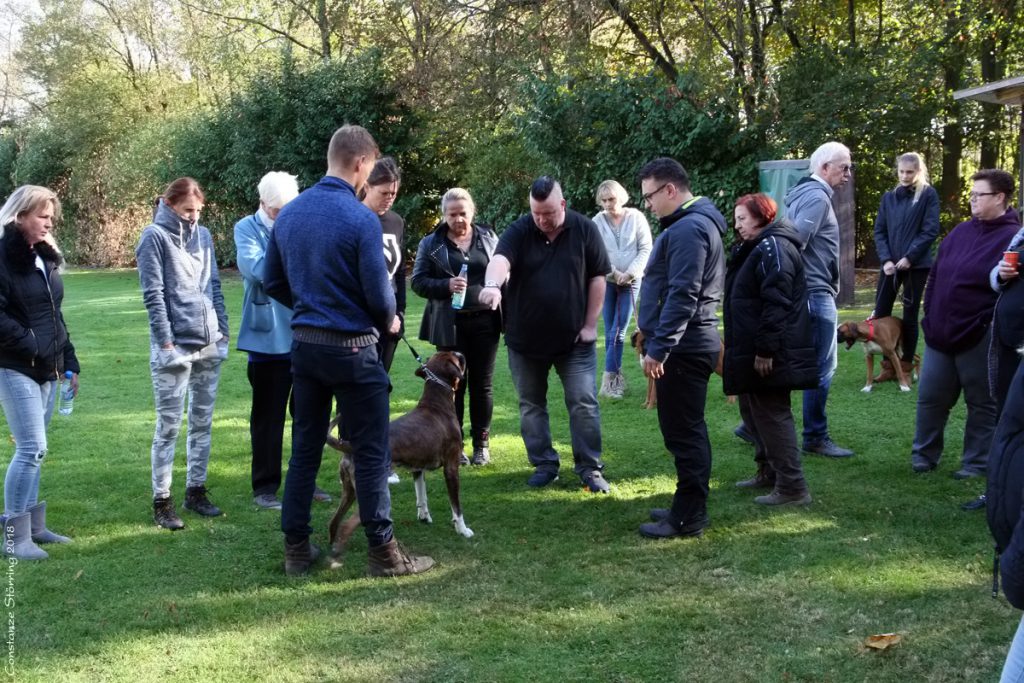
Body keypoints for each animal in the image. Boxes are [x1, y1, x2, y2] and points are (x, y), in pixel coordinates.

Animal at [325, 350, 468, 565]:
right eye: (455, 357)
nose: (461, 352)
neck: (437, 403)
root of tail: (350, 446)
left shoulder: (418, 469)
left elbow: (421, 495)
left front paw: (424, 517)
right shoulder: (451, 468)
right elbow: (456, 506)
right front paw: (463, 530)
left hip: (349, 492)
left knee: (334, 521)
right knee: (346, 525)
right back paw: (337, 557)